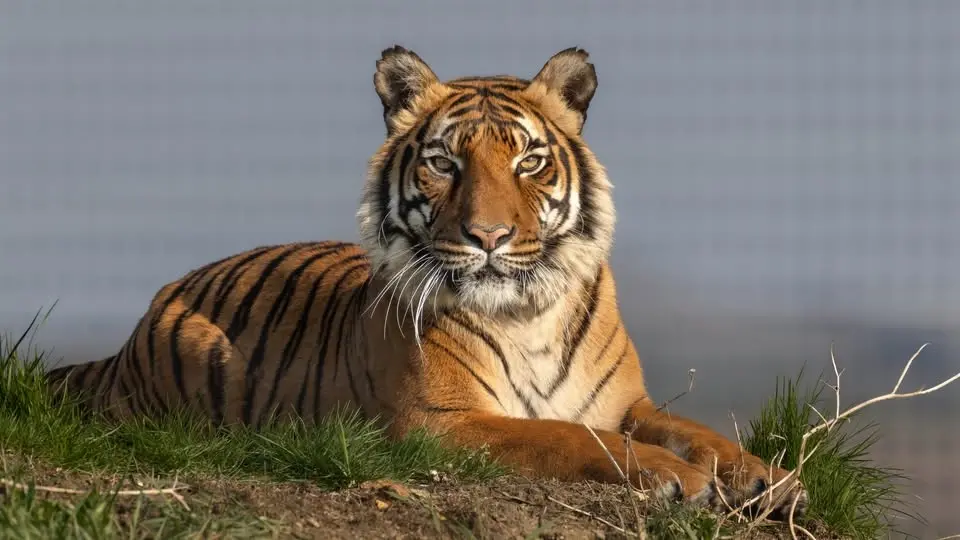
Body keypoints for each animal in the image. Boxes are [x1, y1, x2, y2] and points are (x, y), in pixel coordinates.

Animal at [47, 45, 807, 518]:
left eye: (529, 161)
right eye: (444, 162)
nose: (489, 237)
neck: (528, 312)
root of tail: (128, 339)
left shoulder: (627, 404)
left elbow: (699, 431)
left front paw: (769, 479)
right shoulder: (441, 422)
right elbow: (570, 439)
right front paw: (680, 478)